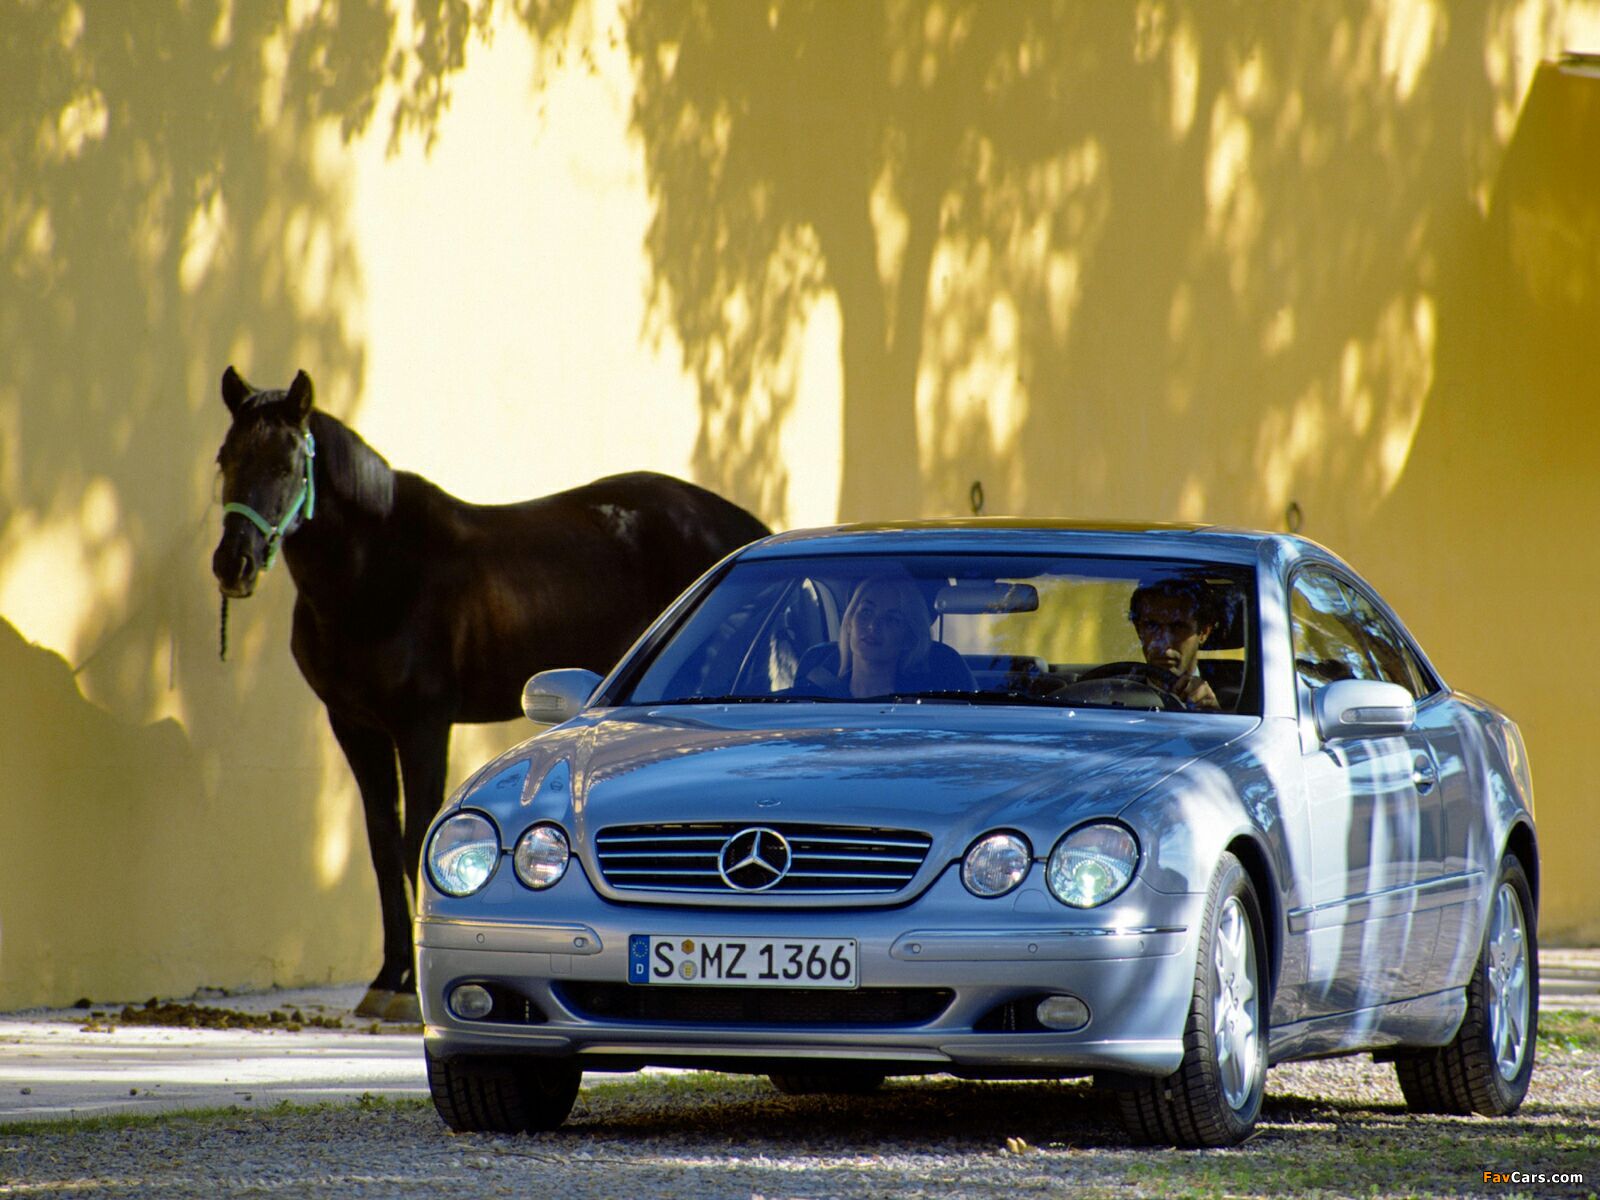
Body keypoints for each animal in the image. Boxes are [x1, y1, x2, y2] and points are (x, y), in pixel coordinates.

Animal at [209, 366, 771, 1017]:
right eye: (225, 458)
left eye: (284, 464)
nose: (233, 564)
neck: (375, 571)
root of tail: (745, 528)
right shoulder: (353, 723)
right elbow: (381, 842)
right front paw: (388, 978)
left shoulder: (423, 724)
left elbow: (415, 834)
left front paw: (410, 991)